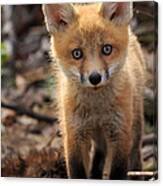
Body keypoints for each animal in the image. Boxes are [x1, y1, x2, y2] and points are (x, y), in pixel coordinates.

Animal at [42, 2, 145, 179]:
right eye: (77, 53)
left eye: (106, 49)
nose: (95, 78)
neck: (97, 110)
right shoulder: (75, 134)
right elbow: (77, 172)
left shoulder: (120, 133)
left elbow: (118, 172)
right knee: (99, 156)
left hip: (133, 130)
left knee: (135, 157)